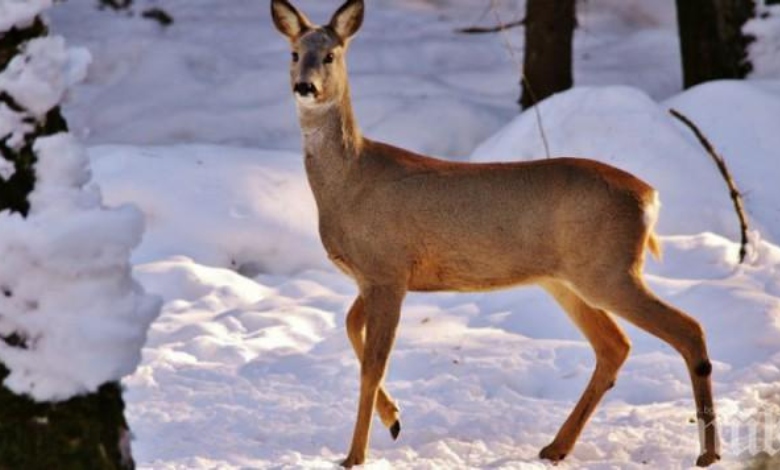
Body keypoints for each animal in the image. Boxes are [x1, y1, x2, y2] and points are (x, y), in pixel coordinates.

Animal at [272, 0, 724, 464]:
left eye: (331, 55)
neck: (350, 180)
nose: (305, 86)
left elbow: (372, 366)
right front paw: (393, 419)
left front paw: (355, 456)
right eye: (294, 53)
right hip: (566, 280)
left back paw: (708, 453)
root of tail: (650, 196)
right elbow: (349, 327)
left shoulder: (388, 270)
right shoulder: (374, 276)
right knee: (615, 345)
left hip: (609, 271)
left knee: (689, 329)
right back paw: (556, 447)